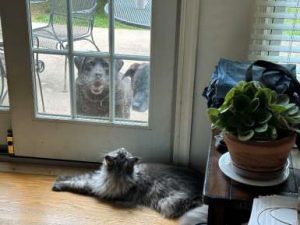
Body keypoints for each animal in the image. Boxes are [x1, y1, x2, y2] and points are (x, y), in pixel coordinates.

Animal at [52, 149, 206, 224]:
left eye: (124, 153)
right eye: (119, 152)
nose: (122, 148)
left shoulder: (96, 187)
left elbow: (76, 183)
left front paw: (57, 185)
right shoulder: (94, 180)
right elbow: (77, 178)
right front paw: (60, 179)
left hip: (169, 202)